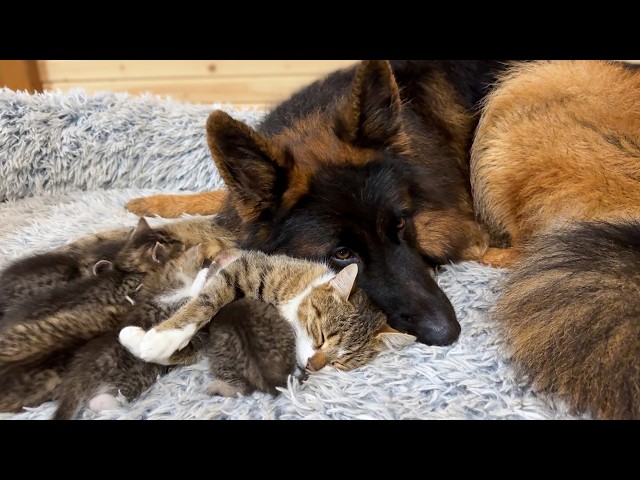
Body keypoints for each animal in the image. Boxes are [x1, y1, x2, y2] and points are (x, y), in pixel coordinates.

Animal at [120, 248, 418, 398]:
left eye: (341, 362)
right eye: (321, 335)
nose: (314, 365)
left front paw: (139, 340)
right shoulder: (248, 267)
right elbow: (207, 300)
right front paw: (162, 337)